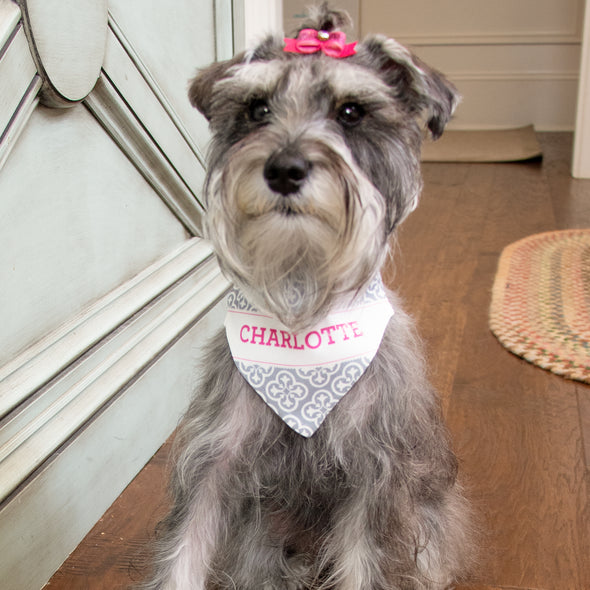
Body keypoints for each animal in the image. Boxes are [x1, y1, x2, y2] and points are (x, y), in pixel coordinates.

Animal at [143, 5, 476, 590]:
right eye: (256, 109)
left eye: (351, 111)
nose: (283, 169)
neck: (302, 306)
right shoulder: (214, 461)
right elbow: (184, 551)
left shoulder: (374, 479)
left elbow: (367, 566)